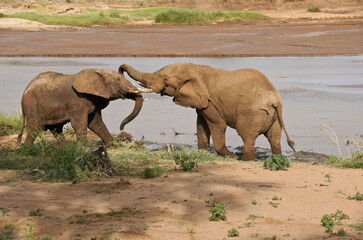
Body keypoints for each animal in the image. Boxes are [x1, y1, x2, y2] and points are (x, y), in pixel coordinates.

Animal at [16, 68, 151, 145]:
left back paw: (63, 147)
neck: (97, 72)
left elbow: (95, 123)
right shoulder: (77, 100)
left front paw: (113, 144)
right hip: (32, 105)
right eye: (118, 79)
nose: (121, 127)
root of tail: (24, 92)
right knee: (35, 128)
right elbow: (80, 123)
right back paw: (27, 149)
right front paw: (83, 147)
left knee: (56, 129)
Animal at [119, 62, 296, 160]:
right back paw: (277, 159)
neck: (196, 69)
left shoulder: (210, 102)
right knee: (274, 137)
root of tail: (274, 100)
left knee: (247, 136)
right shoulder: (202, 102)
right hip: (274, 116)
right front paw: (203, 153)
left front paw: (232, 157)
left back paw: (246, 160)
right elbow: (201, 125)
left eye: (166, 80)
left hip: (252, 113)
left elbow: (218, 124)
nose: (120, 71)